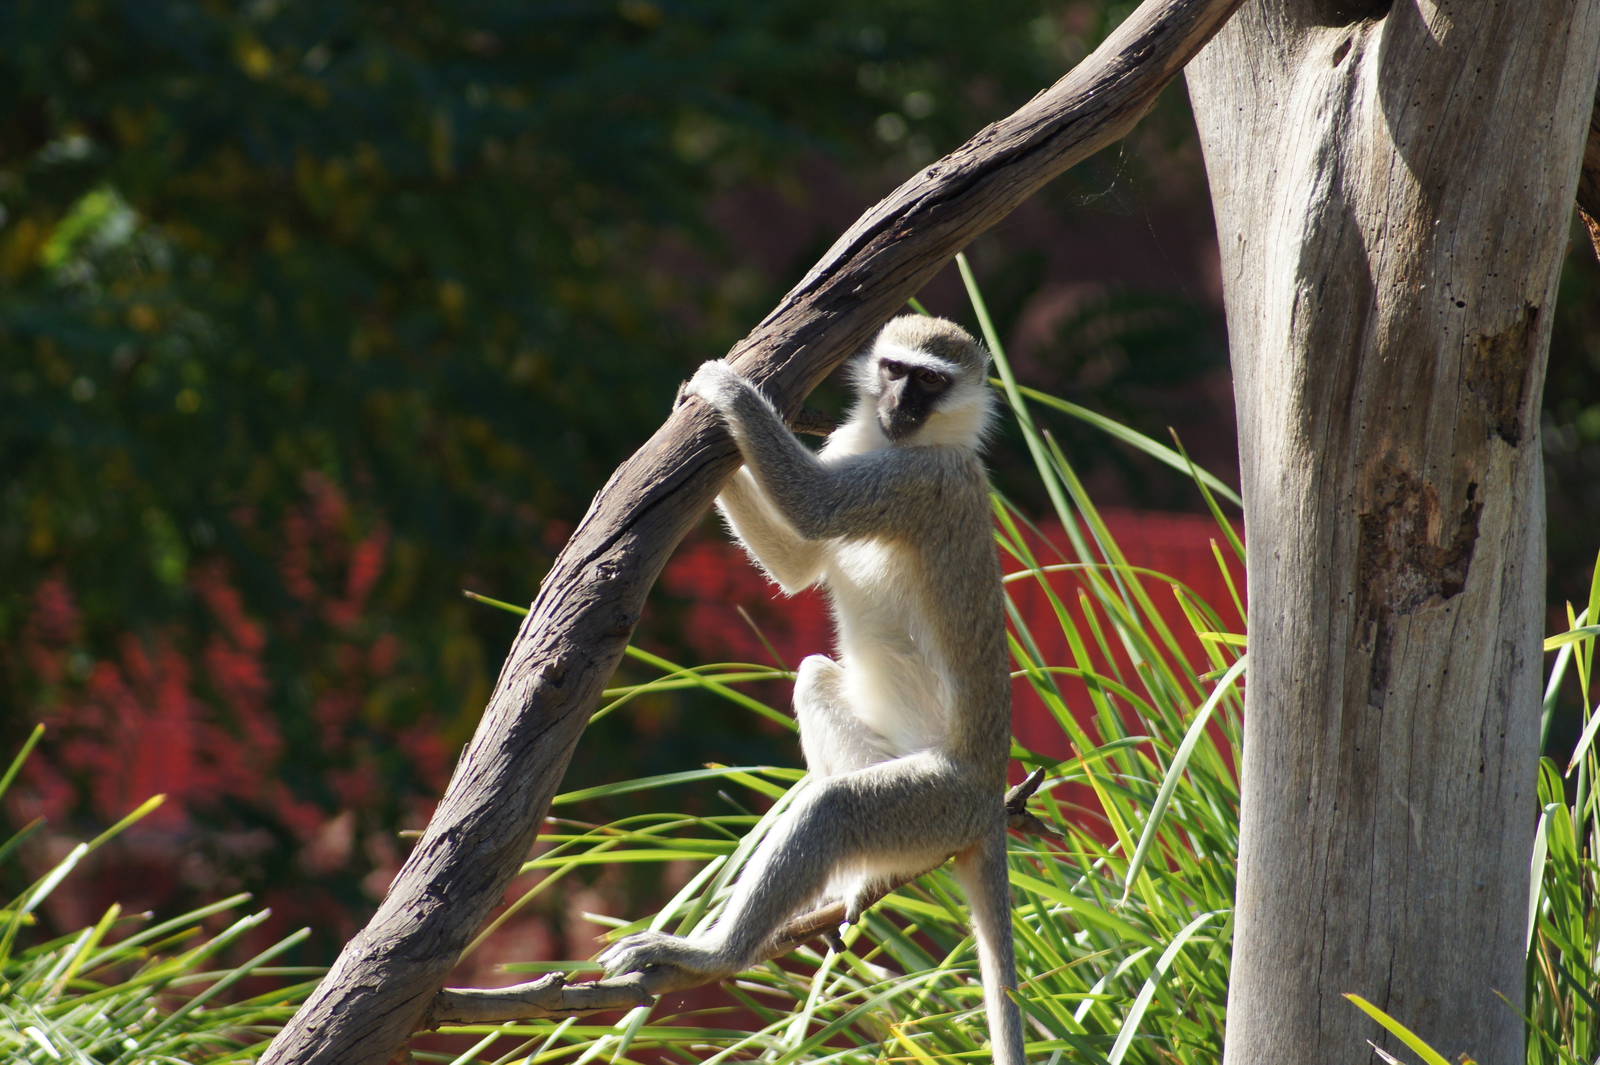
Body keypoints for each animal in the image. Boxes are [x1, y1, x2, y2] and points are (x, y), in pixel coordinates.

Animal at [599, 315, 1024, 1065]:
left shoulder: (920, 481)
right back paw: (862, 882)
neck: (907, 441)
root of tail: (987, 805)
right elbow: (798, 562)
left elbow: (815, 509)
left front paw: (726, 386)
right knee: (814, 678)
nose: (900, 404)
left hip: (935, 803)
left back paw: (712, 955)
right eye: (894, 370)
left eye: (931, 380)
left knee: (835, 809)